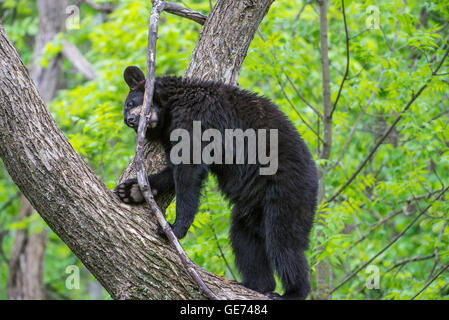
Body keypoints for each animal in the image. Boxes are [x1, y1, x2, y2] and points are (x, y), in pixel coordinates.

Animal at [115, 65, 318, 300]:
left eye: (131, 103)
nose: (130, 120)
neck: (172, 105)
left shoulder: (194, 119)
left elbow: (189, 169)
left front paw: (175, 228)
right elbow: (178, 169)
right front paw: (132, 190)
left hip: (288, 189)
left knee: (283, 240)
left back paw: (292, 291)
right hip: (252, 205)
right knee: (244, 238)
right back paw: (255, 284)